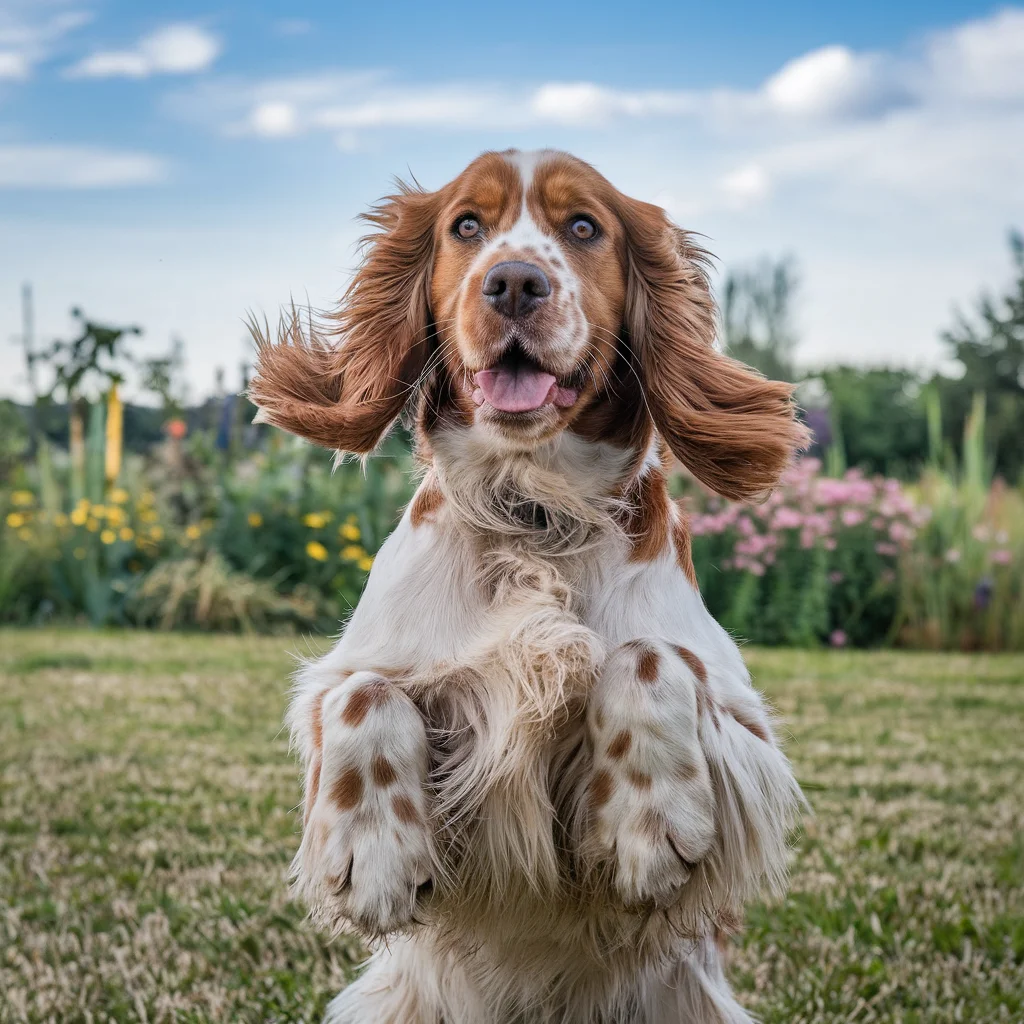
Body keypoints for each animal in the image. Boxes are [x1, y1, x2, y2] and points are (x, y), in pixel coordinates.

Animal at [247, 148, 806, 1019]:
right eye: (466, 226)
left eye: (583, 227)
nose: (513, 282)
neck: (533, 511)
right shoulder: (352, 677)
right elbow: (363, 694)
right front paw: (374, 856)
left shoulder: (746, 730)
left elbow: (647, 658)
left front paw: (646, 823)